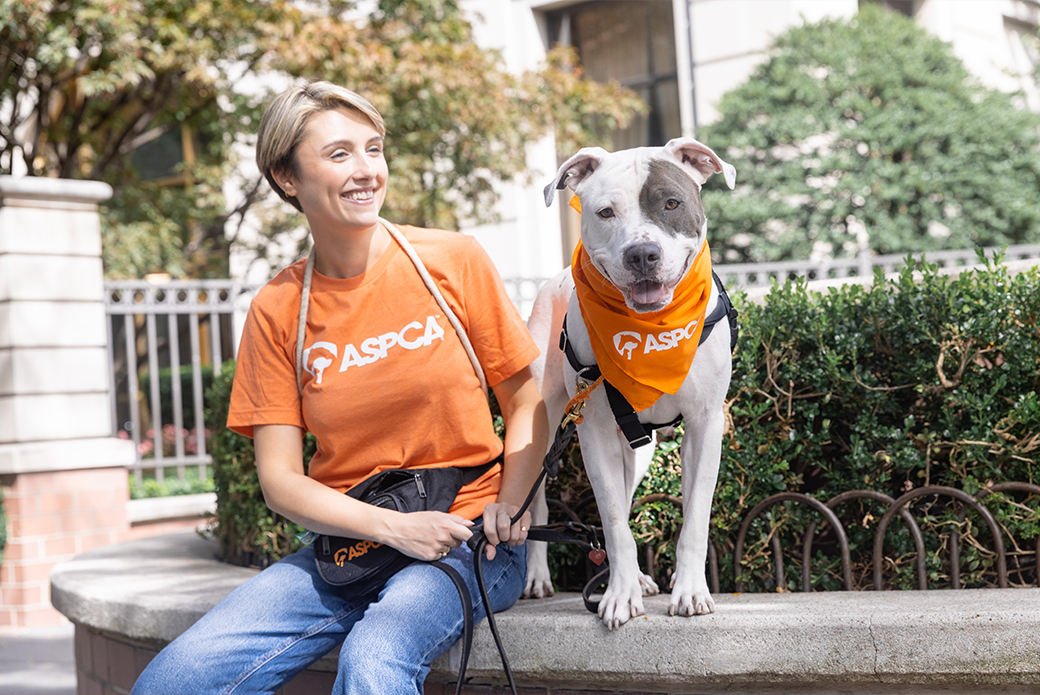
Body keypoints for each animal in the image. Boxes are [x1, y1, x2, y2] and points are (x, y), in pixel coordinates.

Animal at [524, 137, 736, 628]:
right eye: (605, 212)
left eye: (671, 203)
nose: (642, 254)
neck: (649, 332)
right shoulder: (593, 431)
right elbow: (615, 521)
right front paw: (620, 595)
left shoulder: (705, 424)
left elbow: (694, 517)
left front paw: (689, 590)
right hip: (544, 425)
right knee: (537, 504)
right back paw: (539, 577)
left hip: (637, 451)